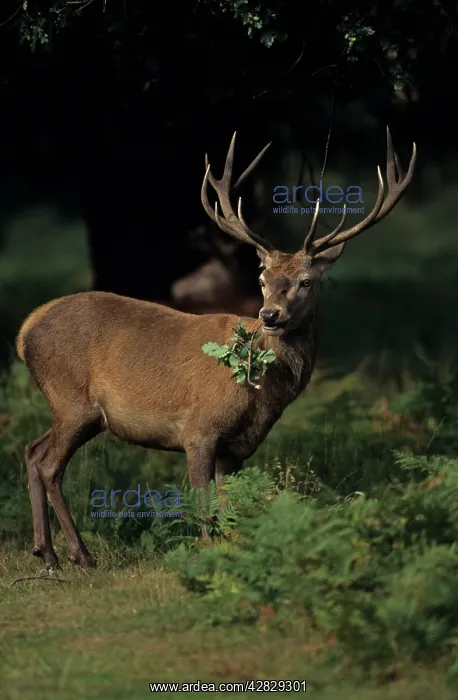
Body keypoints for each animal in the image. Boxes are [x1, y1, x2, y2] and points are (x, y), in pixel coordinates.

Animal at [16, 127, 416, 571]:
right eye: (263, 277)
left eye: (306, 281)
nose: (270, 314)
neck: (260, 393)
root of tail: (25, 331)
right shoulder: (198, 430)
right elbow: (204, 507)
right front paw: (204, 559)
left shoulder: (236, 449)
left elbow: (229, 510)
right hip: (73, 400)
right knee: (49, 464)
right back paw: (79, 555)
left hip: (77, 411)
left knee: (32, 451)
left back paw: (46, 551)